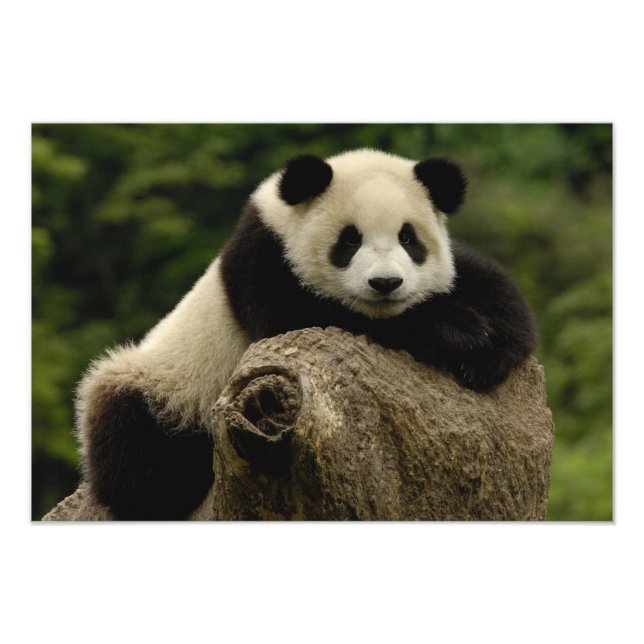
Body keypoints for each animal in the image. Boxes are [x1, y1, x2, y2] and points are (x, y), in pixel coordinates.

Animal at [76, 148, 537, 520]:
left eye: (409, 238)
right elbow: (303, 320)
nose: (385, 283)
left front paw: (489, 347)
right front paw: (457, 332)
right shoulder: (264, 261)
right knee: (137, 448)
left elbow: (487, 284)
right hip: (165, 384)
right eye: (349, 241)